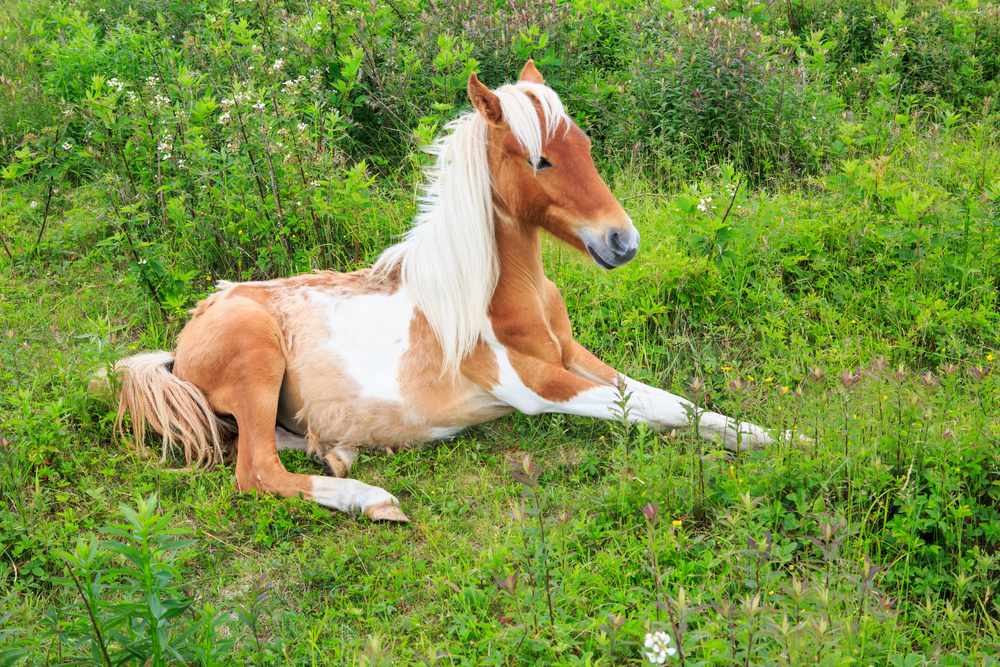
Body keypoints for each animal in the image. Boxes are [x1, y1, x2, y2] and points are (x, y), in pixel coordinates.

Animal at [113, 62, 776, 520]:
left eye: (584, 144)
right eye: (540, 161)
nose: (623, 242)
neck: (499, 295)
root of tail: (182, 341)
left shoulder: (573, 356)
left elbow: (668, 399)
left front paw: (764, 435)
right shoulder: (538, 385)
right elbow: (653, 408)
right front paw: (775, 441)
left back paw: (338, 453)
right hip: (256, 357)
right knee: (254, 469)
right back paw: (370, 497)